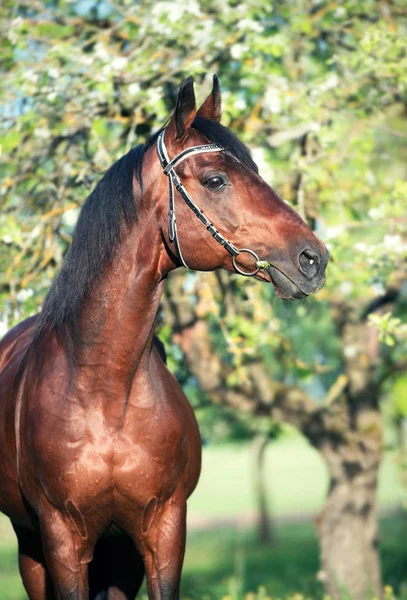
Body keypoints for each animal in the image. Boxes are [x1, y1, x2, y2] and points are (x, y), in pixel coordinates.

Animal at [0, 76, 328, 600]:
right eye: (215, 180)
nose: (313, 259)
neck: (105, 390)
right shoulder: (61, 540)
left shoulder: (164, 532)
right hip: (31, 546)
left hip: (118, 556)